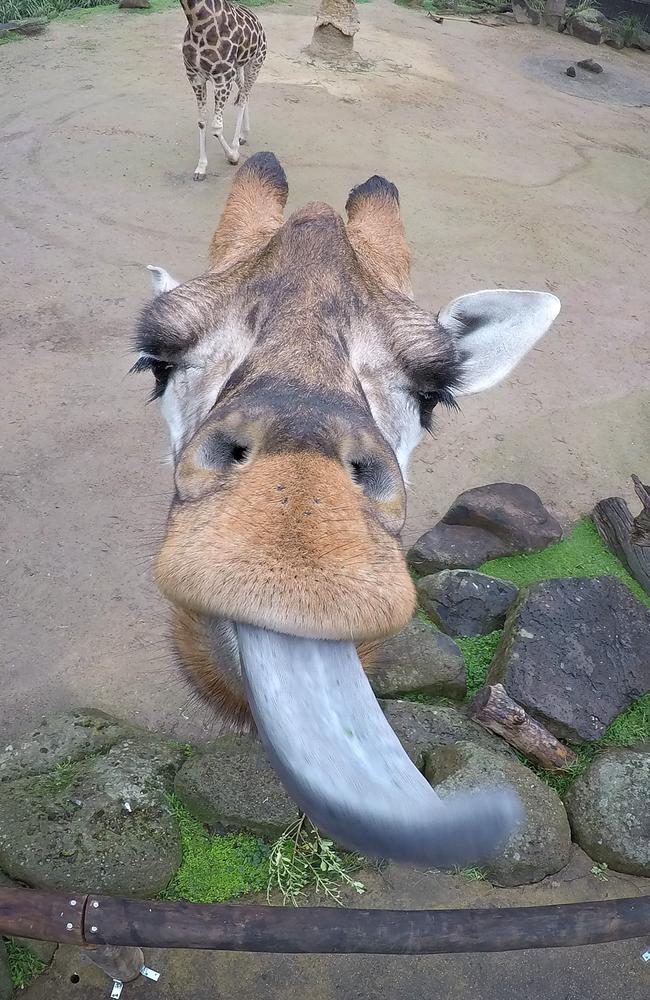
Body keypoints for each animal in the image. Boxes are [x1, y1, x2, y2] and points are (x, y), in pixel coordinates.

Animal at [178, 0, 264, 180]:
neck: (198, 23)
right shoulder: (195, 77)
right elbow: (202, 122)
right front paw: (201, 167)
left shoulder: (222, 78)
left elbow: (216, 127)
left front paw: (233, 156)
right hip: (238, 69)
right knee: (244, 94)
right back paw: (243, 135)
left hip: (256, 62)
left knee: (244, 98)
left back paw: (237, 144)